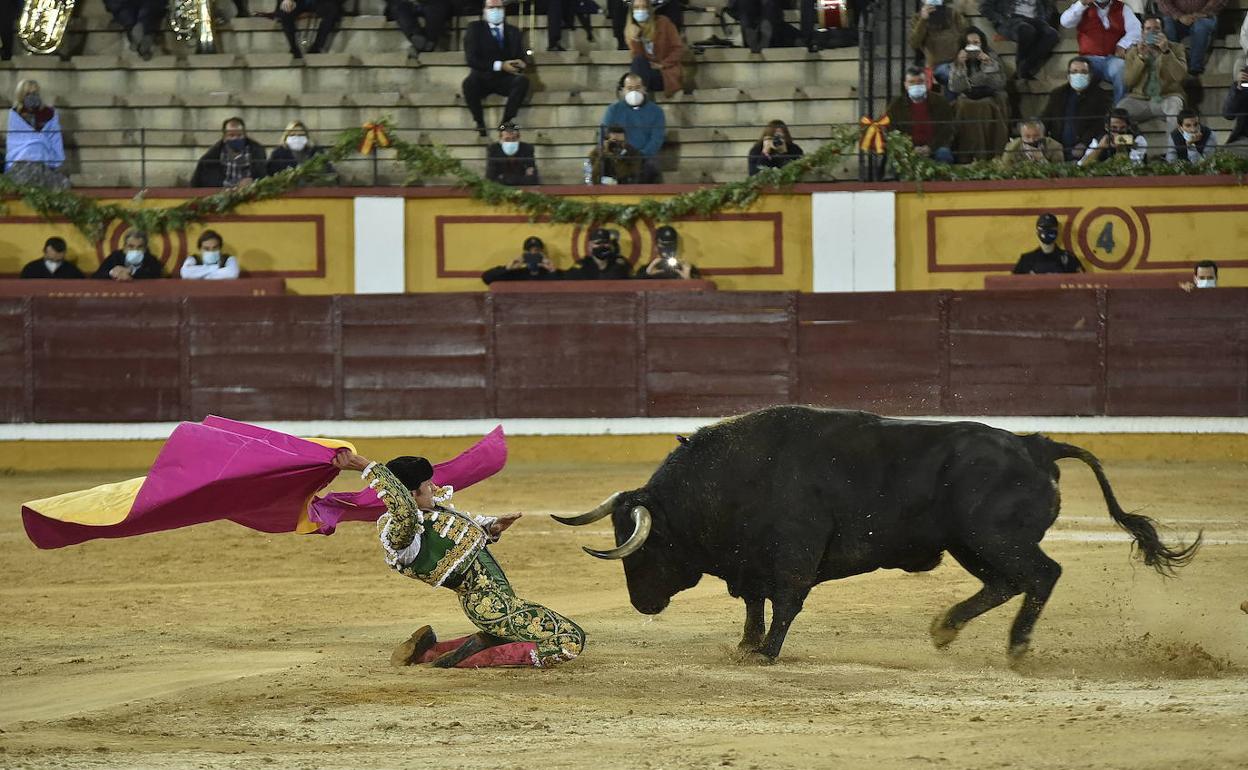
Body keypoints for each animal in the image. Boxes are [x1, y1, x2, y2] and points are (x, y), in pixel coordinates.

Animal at [554, 404, 1198, 663]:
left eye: (647, 546)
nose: (641, 603)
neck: (730, 478)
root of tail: (1035, 445)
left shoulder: (791, 557)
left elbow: (783, 603)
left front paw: (766, 655)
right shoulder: (753, 562)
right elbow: (754, 603)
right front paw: (745, 646)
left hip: (996, 539)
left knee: (1042, 575)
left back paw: (1015, 648)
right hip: (970, 546)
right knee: (1008, 583)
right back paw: (945, 629)